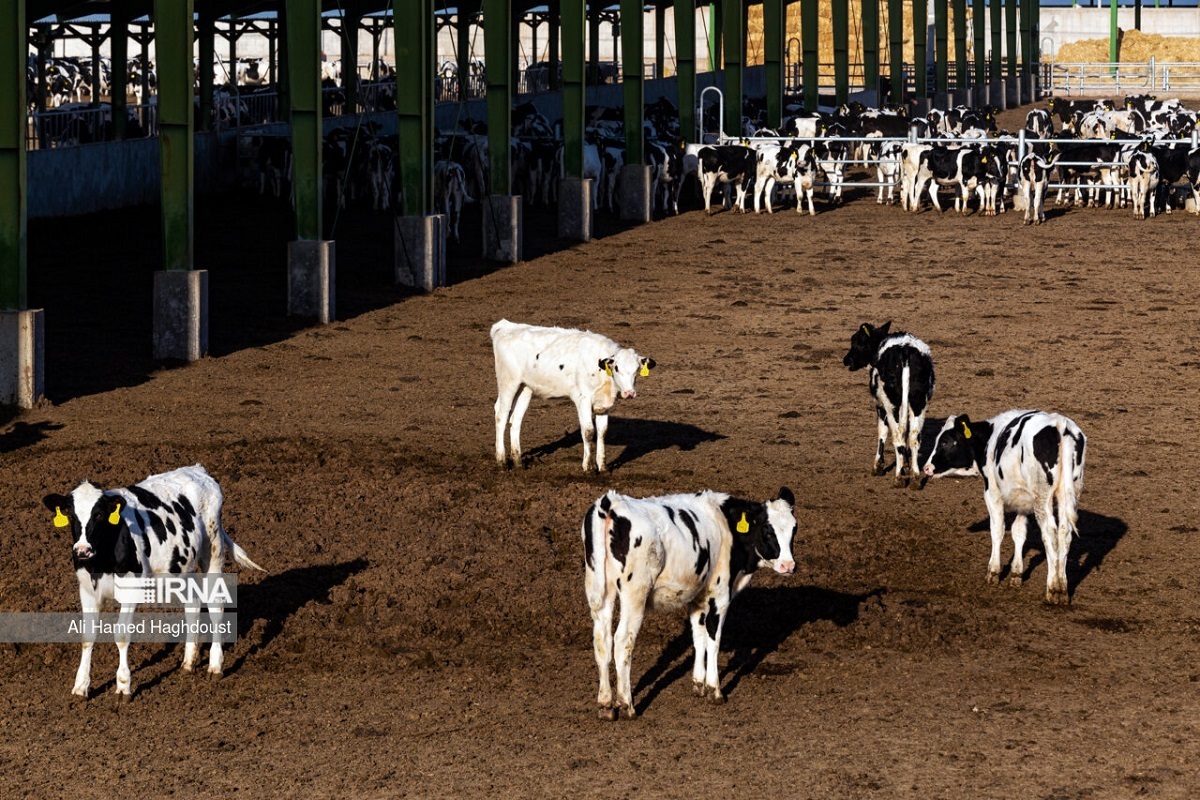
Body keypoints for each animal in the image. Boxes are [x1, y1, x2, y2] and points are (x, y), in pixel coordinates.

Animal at [45, 465, 266, 695]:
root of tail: (198, 470)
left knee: (216, 606)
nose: (82, 550)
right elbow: (87, 636)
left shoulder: (131, 590)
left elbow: (121, 635)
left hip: (213, 551)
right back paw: (188, 662)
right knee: (193, 604)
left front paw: (123, 686)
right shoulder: (87, 590)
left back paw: (215, 665)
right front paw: (80, 686)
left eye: (99, 515)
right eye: (71, 516)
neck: (101, 561)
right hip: (179, 569)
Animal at [489, 316, 657, 472]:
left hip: (525, 388)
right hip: (508, 383)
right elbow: (588, 431)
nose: (629, 393)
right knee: (501, 415)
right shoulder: (583, 399)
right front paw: (588, 468)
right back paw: (501, 462)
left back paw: (518, 462)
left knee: (515, 420)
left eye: (636, 370)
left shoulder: (604, 404)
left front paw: (602, 467)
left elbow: (602, 432)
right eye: (617, 368)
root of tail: (505, 326)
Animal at [580, 489, 796, 719]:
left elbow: (698, 637)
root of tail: (611, 501)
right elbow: (713, 639)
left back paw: (605, 705)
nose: (789, 565)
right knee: (622, 641)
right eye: (767, 530)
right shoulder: (720, 594)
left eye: (794, 529)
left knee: (602, 642)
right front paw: (714, 690)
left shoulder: (697, 596)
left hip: (600, 592)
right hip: (634, 594)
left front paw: (699, 684)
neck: (725, 523)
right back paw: (627, 704)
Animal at [840, 321, 931, 489]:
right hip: (918, 404)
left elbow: (882, 432)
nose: (846, 359)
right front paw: (906, 466)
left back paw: (898, 478)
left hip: (892, 406)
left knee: (898, 437)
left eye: (856, 341)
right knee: (913, 437)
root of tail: (905, 351)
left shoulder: (880, 405)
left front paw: (878, 466)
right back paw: (914, 478)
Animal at [916, 410, 1089, 604]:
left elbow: (997, 530)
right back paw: (1062, 588)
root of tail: (1059, 424)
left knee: (1050, 535)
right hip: (1070, 492)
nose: (927, 468)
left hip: (1042, 498)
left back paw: (1053, 589)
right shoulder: (1023, 501)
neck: (990, 439)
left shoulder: (992, 492)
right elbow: (1019, 532)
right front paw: (1016, 574)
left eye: (945, 441)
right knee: (1064, 534)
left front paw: (993, 572)